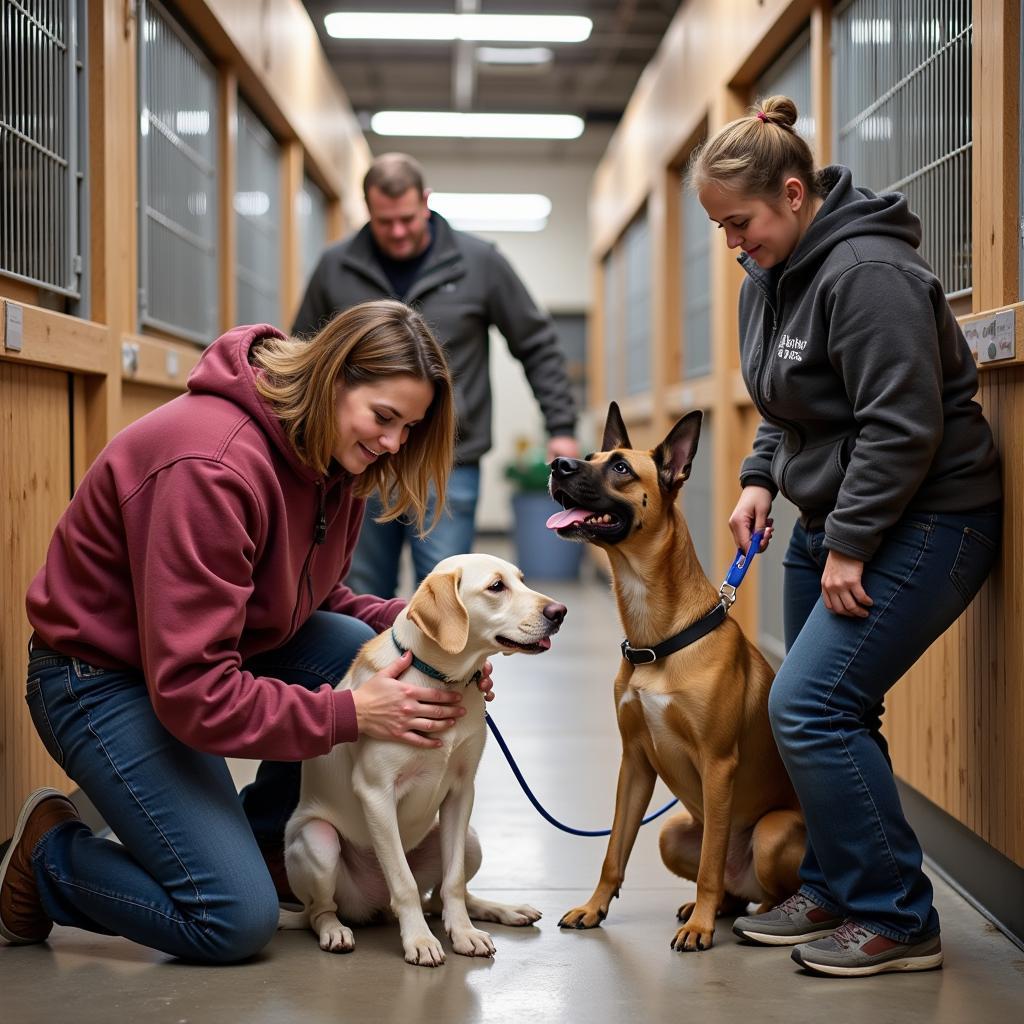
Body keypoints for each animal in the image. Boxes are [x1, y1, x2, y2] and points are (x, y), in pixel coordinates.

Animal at [548, 399, 802, 950]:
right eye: (589, 456)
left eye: (621, 468)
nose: (557, 465)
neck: (658, 639)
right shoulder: (635, 763)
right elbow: (614, 852)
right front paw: (594, 907)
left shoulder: (718, 765)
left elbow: (708, 866)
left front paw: (701, 929)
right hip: (671, 834)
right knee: (730, 887)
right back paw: (718, 907)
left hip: (771, 835)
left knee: (755, 886)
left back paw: (747, 915)